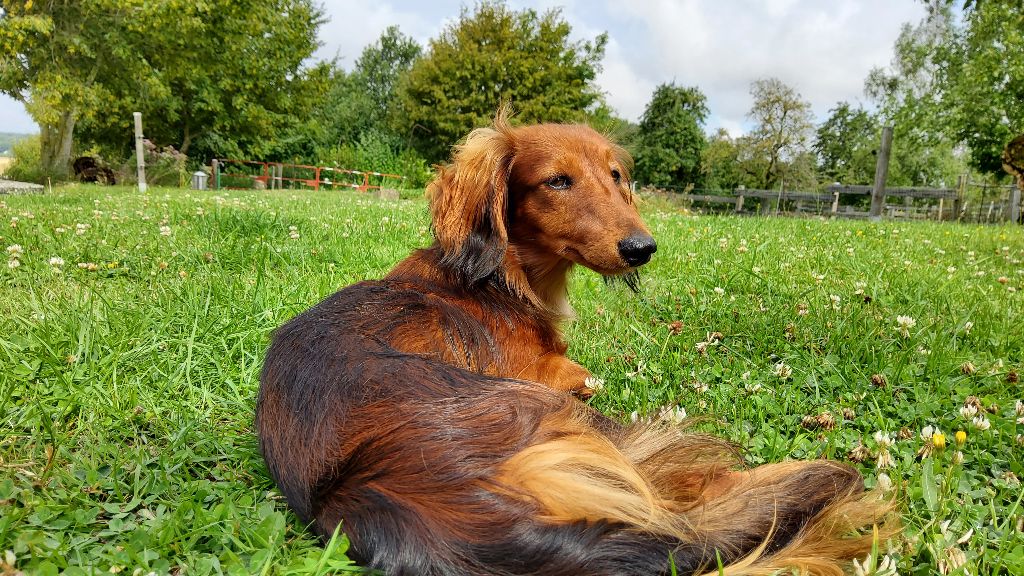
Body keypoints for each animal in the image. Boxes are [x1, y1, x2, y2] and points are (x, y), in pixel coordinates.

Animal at [258, 113, 897, 573]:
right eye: (557, 181)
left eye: (616, 175)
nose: (642, 247)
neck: (502, 277)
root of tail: (372, 487)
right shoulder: (560, 376)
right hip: (566, 419)